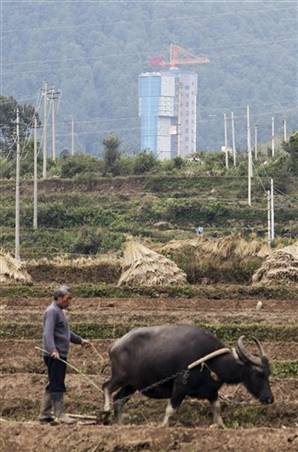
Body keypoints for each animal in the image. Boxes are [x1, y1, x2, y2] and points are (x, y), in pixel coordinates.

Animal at [102, 324, 272, 424]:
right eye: (258, 373)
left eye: (268, 373)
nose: (270, 398)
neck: (210, 361)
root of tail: (114, 345)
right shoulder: (180, 387)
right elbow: (170, 410)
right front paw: (163, 426)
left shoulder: (212, 391)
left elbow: (217, 409)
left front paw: (221, 426)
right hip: (120, 376)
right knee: (107, 387)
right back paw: (106, 410)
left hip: (132, 385)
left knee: (119, 399)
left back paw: (120, 423)